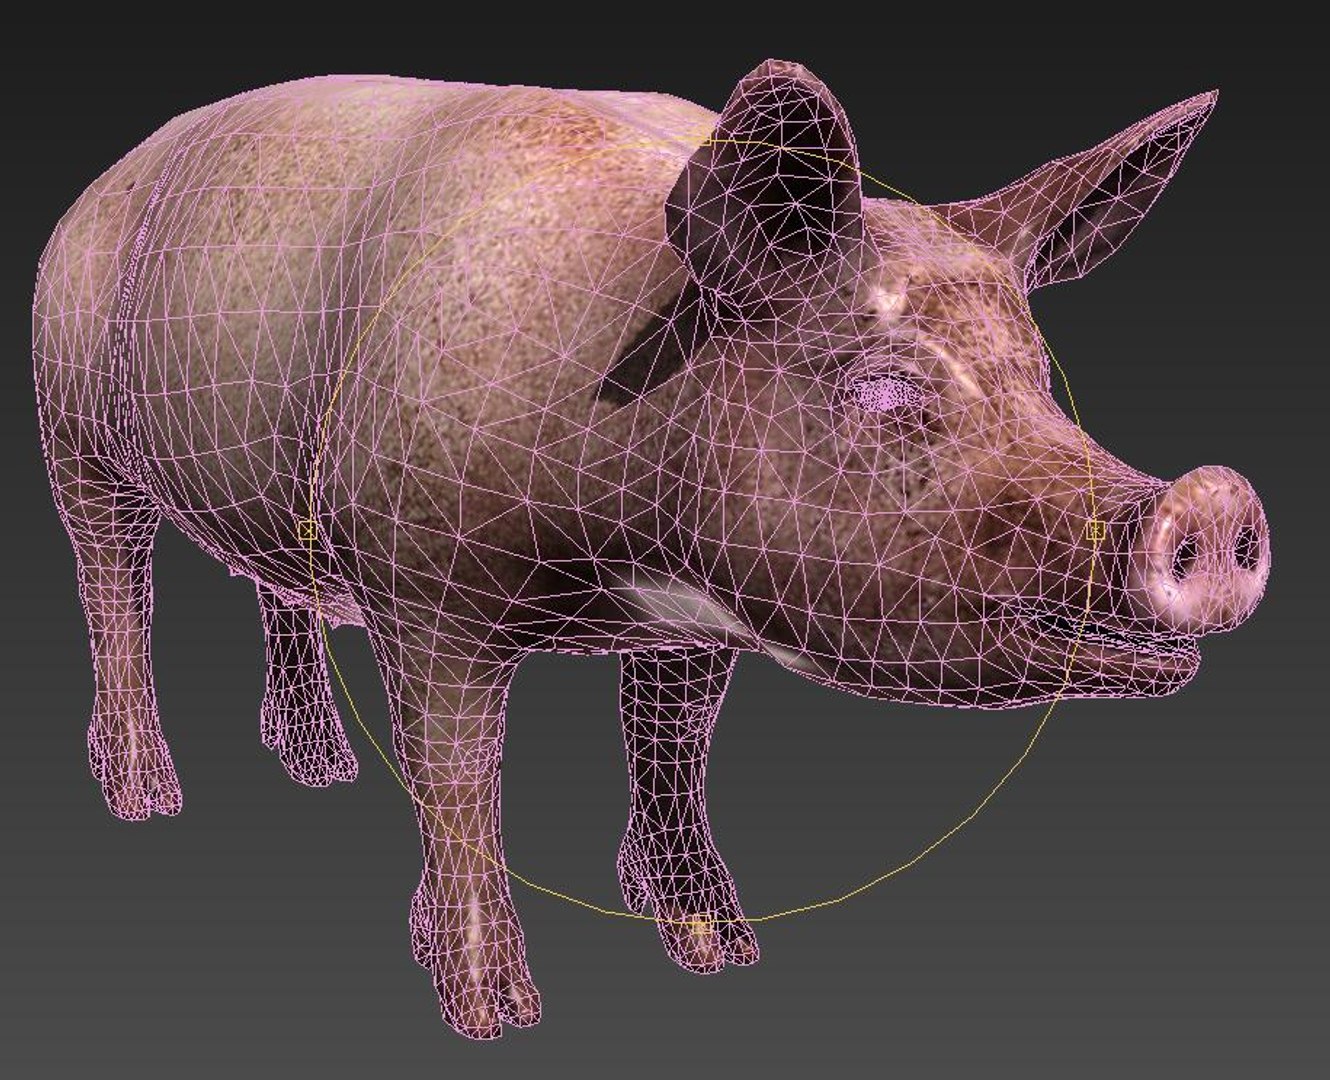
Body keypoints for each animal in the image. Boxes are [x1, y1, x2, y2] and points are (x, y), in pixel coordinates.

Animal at [33, 60, 1270, 1040]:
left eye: (1037, 379)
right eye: (880, 389)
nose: (1208, 502)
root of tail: (98, 186)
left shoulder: (690, 621)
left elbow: (673, 750)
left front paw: (718, 951)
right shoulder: (421, 578)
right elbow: (460, 779)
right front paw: (495, 1016)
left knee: (272, 588)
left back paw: (320, 769)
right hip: (71, 423)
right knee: (112, 589)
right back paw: (147, 800)